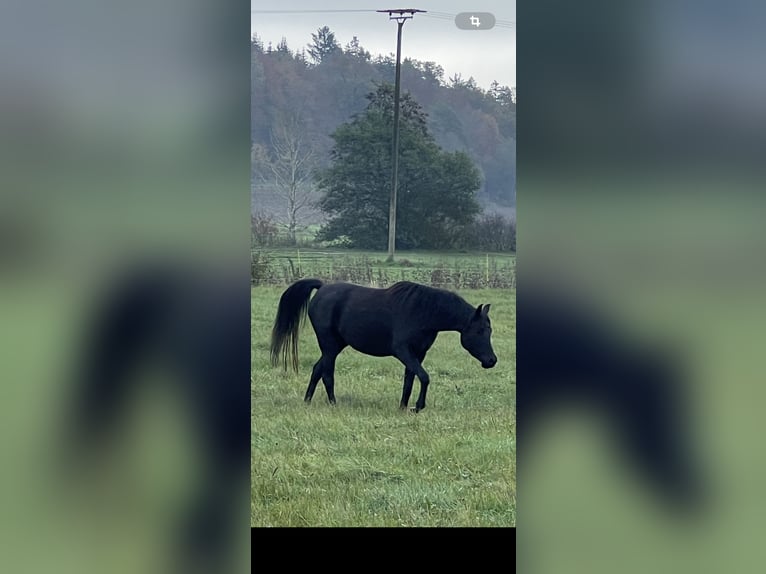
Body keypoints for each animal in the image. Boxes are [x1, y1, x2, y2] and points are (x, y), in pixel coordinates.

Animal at [270, 279, 498, 412]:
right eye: (480, 331)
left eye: (489, 330)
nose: (491, 361)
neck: (424, 311)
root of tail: (323, 286)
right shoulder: (403, 351)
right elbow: (424, 377)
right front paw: (417, 406)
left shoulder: (418, 353)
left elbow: (410, 379)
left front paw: (403, 406)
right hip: (330, 346)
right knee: (327, 373)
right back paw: (333, 403)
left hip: (335, 345)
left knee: (318, 369)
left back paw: (307, 401)